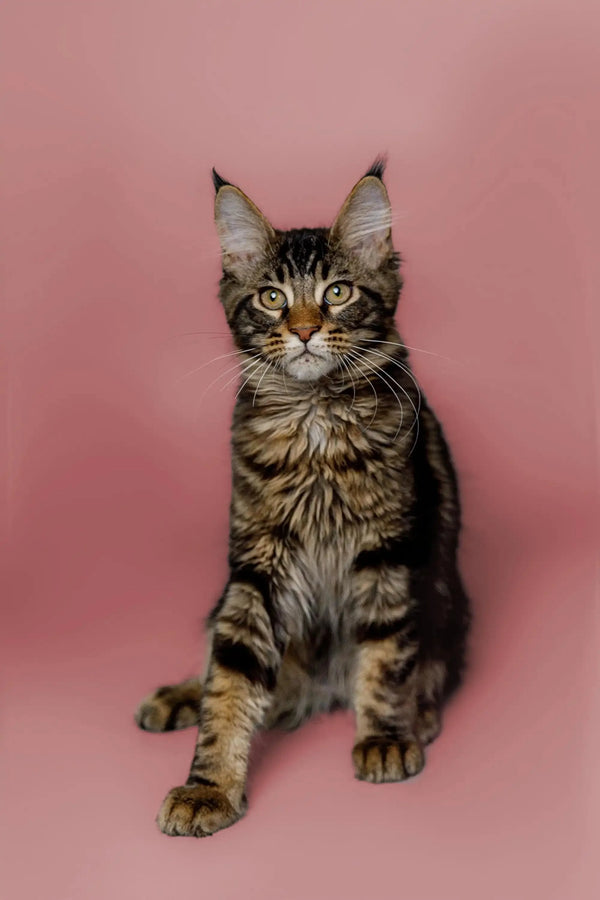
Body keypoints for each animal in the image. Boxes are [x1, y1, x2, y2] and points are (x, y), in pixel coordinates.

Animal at [135, 160, 468, 836]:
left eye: (337, 292)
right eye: (272, 298)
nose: (307, 330)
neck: (315, 422)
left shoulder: (385, 550)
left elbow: (385, 655)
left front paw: (384, 736)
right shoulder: (258, 563)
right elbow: (231, 680)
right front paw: (208, 788)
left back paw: (417, 717)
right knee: (215, 659)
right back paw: (180, 695)